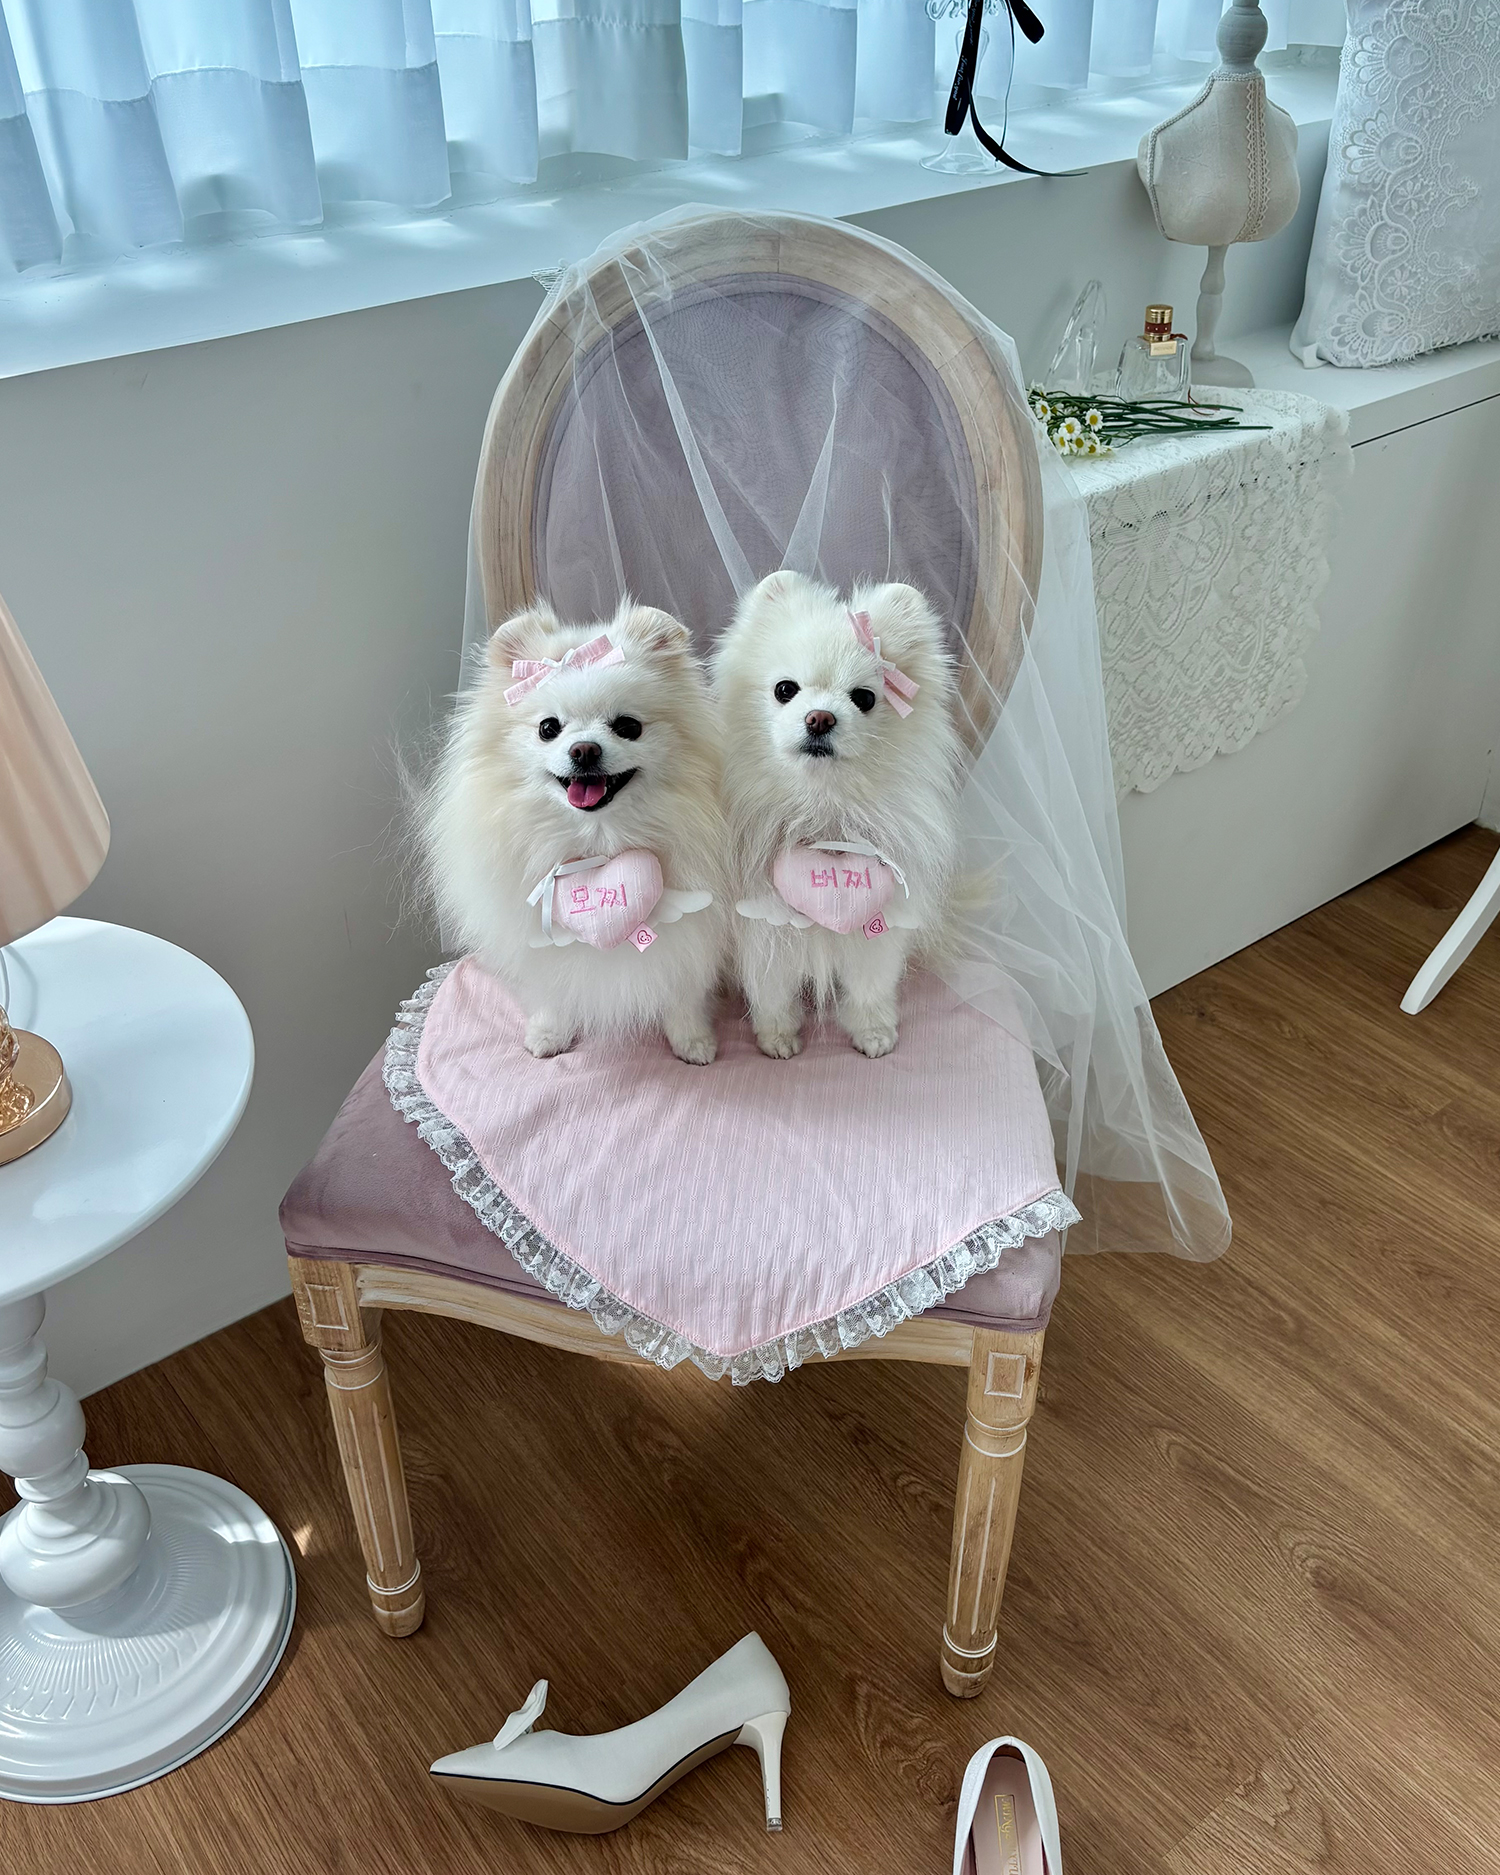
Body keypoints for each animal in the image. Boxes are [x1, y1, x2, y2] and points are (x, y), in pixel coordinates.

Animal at [422, 597, 730, 1063]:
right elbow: (552, 988)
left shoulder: (694, 933)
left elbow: (683, 991)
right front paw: (549, 1032)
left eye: (628, 726)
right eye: (549, 728)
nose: (584, 749)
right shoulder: (537, 937)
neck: (597, 843)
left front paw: (692, 1040)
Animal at [712, 570, 964, 1058]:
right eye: (785, 690)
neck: (824, 810)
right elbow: (771, 987)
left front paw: (873, 1031)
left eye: (864, 697)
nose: (820, 718)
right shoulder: (762, 924)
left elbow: (870, 985)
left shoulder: (880, 921)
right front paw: (778, 1036)